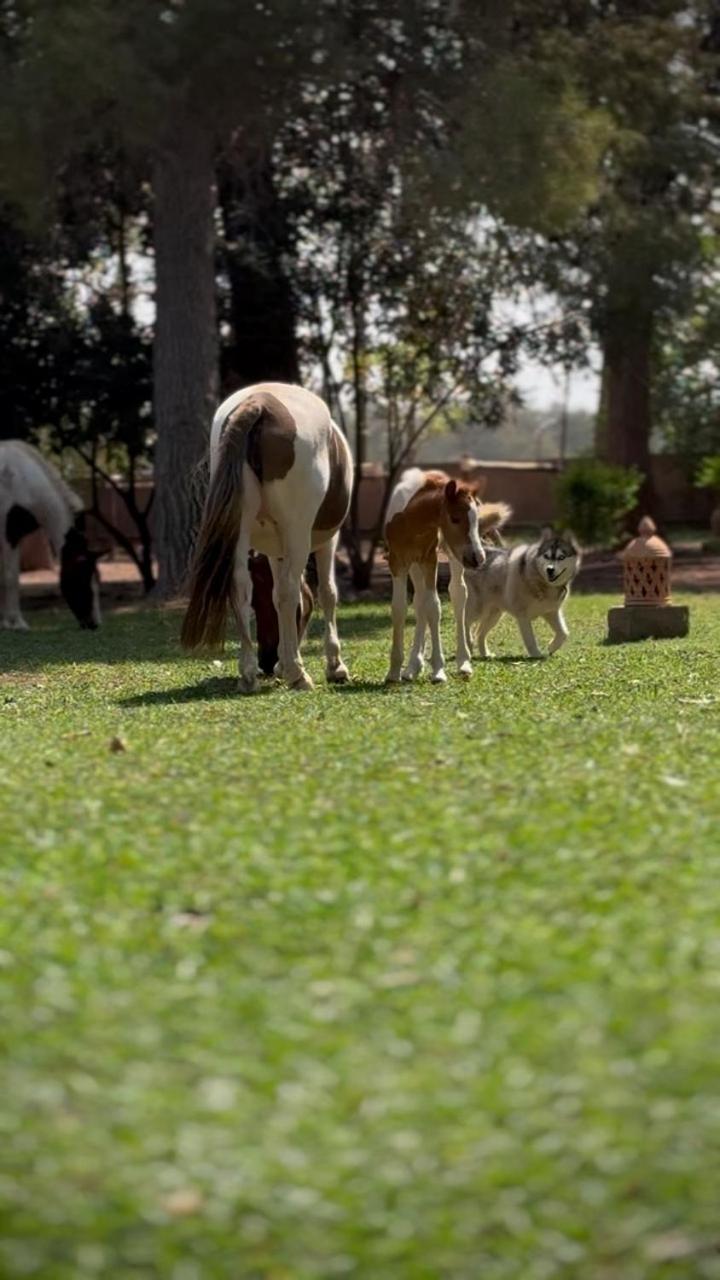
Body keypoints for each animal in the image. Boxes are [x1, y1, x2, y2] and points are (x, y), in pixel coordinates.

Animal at [0, 442, 101, 632]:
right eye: (81, 578)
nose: (94, 624)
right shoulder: (9, 536)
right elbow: (11, 577)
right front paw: (17, 623)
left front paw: (5, 623)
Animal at [180, 384, 351, 696]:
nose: (268, 661)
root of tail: (259, 402)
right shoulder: (327, 541)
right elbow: (326, 593)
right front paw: (334, 667)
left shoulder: (274, 548)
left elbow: (274, 594)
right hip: (298, 533)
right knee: (288, 591)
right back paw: (297, 674)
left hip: (241, 527)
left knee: (240, 587)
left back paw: (249, 675)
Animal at [384, 468, 507, 686]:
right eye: (455, 518)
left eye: (476, 519)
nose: (478, 557)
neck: (412, 520)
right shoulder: (397, 561)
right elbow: (400, 608)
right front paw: (394, 671)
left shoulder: (429, 559)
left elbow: (434, 606)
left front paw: (438, 670)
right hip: (418, 564)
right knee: (419, 601)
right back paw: (412, 667)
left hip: (453, 554)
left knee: (458, 594)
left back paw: (463, 662)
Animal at [466, 524, 576, 660]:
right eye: (546, 556)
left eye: (561, 557)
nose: (550, 570)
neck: (540, 582)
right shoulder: (523, 615)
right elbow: (530, 639)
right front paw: (536, 655)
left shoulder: (551, 612)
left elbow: (564, 633)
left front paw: (551, 647)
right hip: (477, 609)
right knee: (465, 623)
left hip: (494, 615)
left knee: (480, 633)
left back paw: (485, 654)